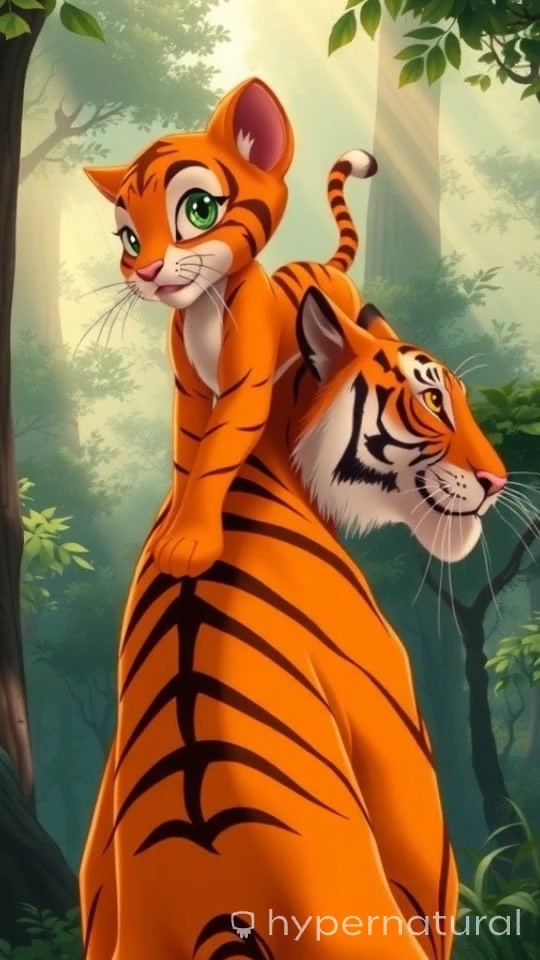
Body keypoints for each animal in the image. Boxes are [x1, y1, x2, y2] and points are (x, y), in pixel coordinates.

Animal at [84, 77, 377, 579]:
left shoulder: (244, 390)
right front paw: (168, 535)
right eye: (130, 240)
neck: (204, 303)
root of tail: (328, 265)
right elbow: (186, 458)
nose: (147, 272)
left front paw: (189, 542)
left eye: (199, 210)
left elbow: (212, 460)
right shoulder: (190, 392)